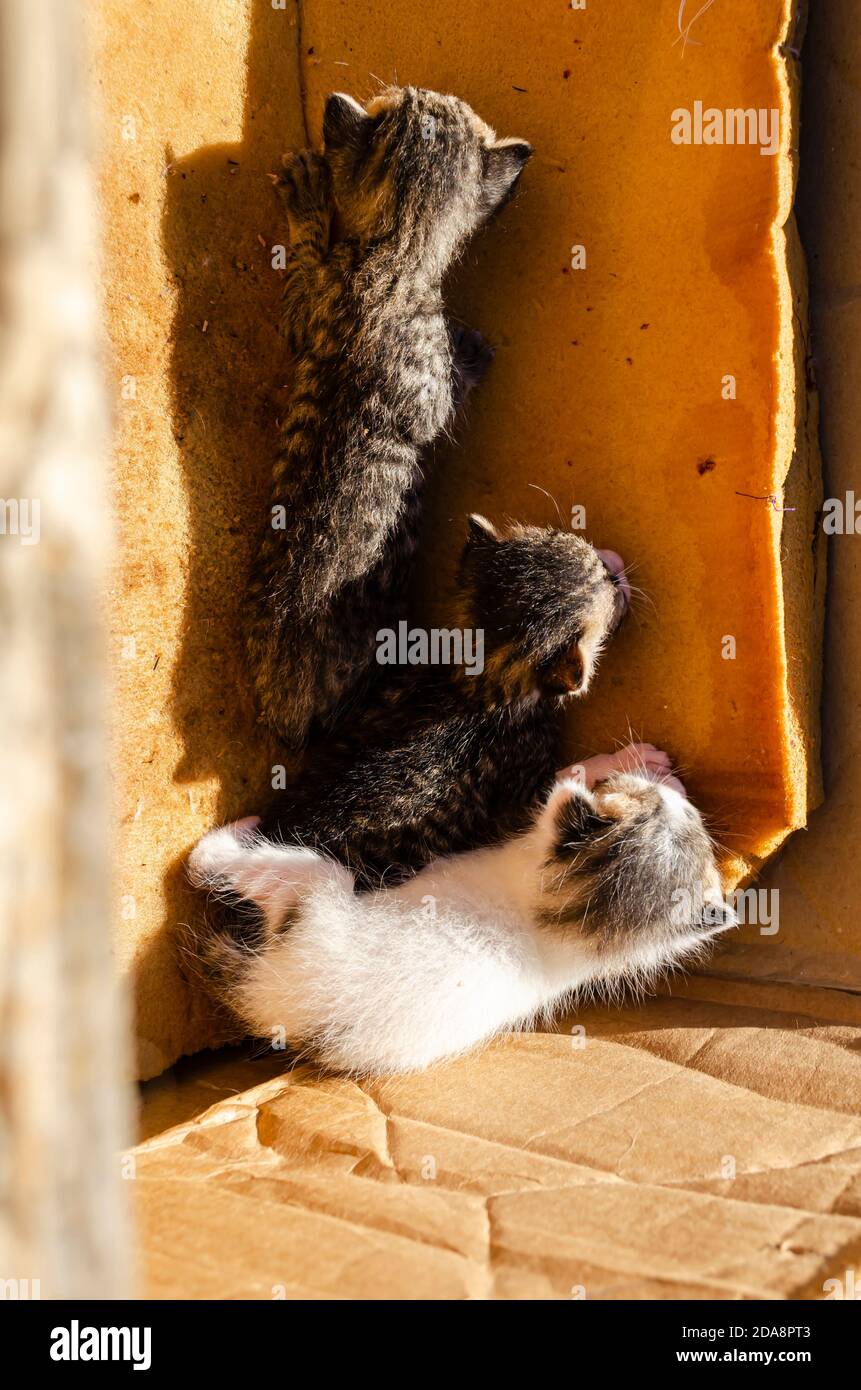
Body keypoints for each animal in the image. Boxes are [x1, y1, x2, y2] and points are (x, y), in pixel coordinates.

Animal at [242, 88, 536, 750]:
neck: (396, 253)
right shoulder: (431, 390)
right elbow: (453, 389)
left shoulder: (309, 308)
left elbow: (302, 277)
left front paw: (307, 203)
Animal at [255, 517, 634, 884]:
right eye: (608, 582)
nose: (615, 565)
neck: (478, 676)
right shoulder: (520, 775)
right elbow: (558, 788)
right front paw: (627, 758)